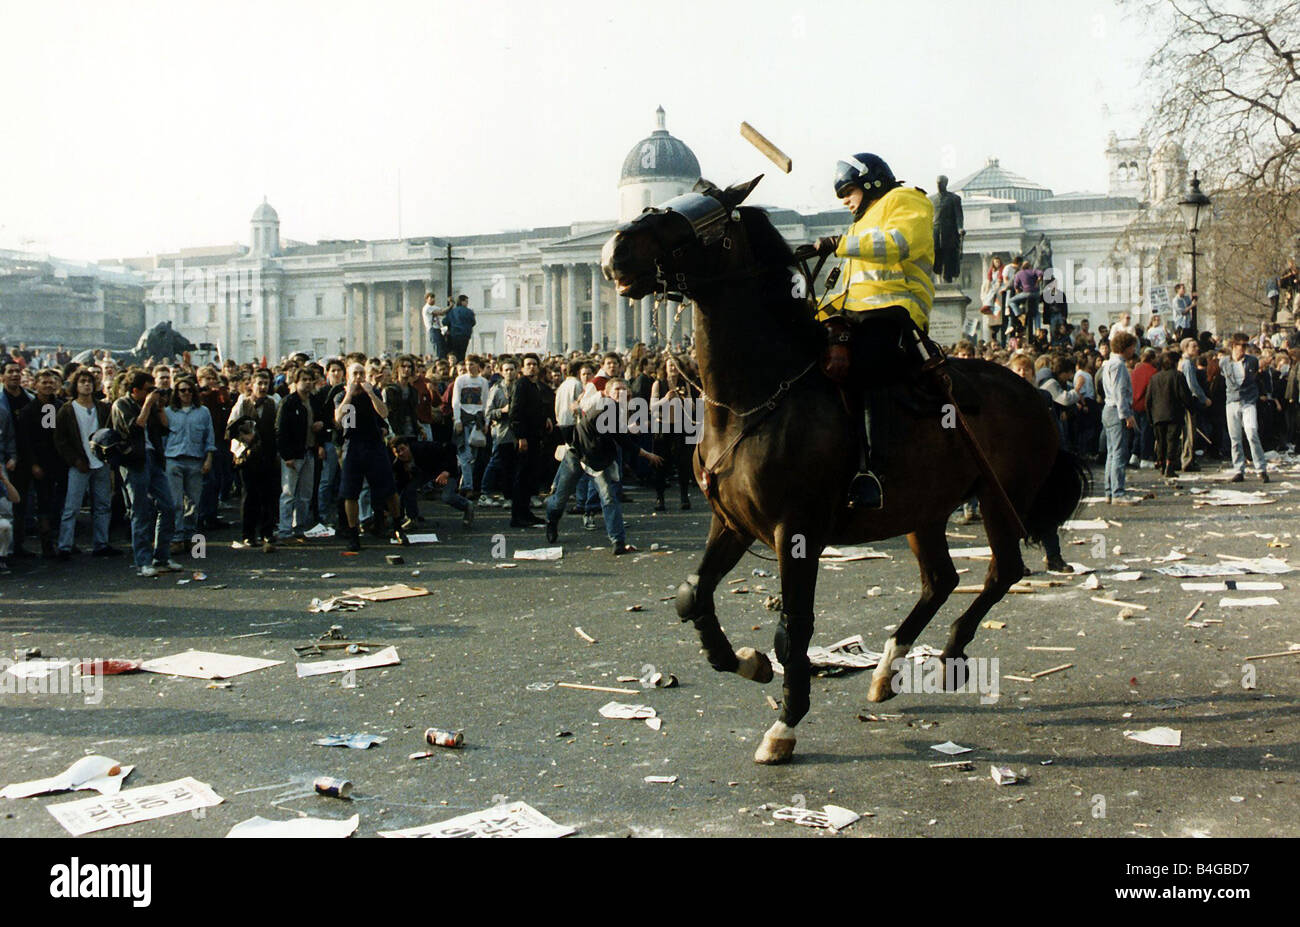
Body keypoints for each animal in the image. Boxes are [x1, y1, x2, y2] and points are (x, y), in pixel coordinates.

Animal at [600, 176, 1086, 764]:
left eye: (705, 217)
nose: (615, 251)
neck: (754, 398)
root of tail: (1034, 392)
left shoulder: (797, 531)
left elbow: (793, 628)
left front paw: (785, 724)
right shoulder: (734, 523)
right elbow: (692, 596)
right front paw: (748, 663)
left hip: (997, 498)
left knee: (1003, 571)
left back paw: (949, 654)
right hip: (924, 510)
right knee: (941, 579)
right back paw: (887, 669)